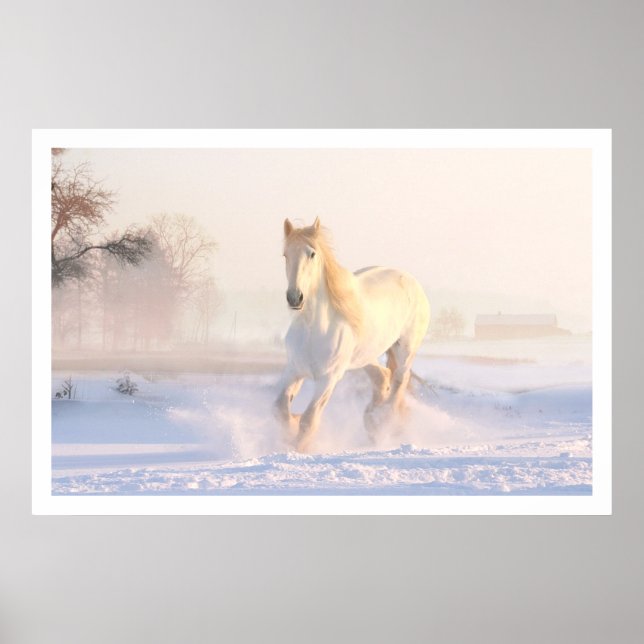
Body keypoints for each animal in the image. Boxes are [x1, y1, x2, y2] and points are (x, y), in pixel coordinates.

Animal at [274, 217, 430, 452]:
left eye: (312, 254)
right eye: (285, 255)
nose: (295, 297)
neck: (313, 329)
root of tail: (410, 280)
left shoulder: (328, 378)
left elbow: (309, 420)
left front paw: (298, 447)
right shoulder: (294, 370)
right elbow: (281, 409)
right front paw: (291, 428)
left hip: (405, 349)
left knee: (399, 380)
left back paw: (384, 421)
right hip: (364, 356)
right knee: (382, 376)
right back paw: (372, 420)